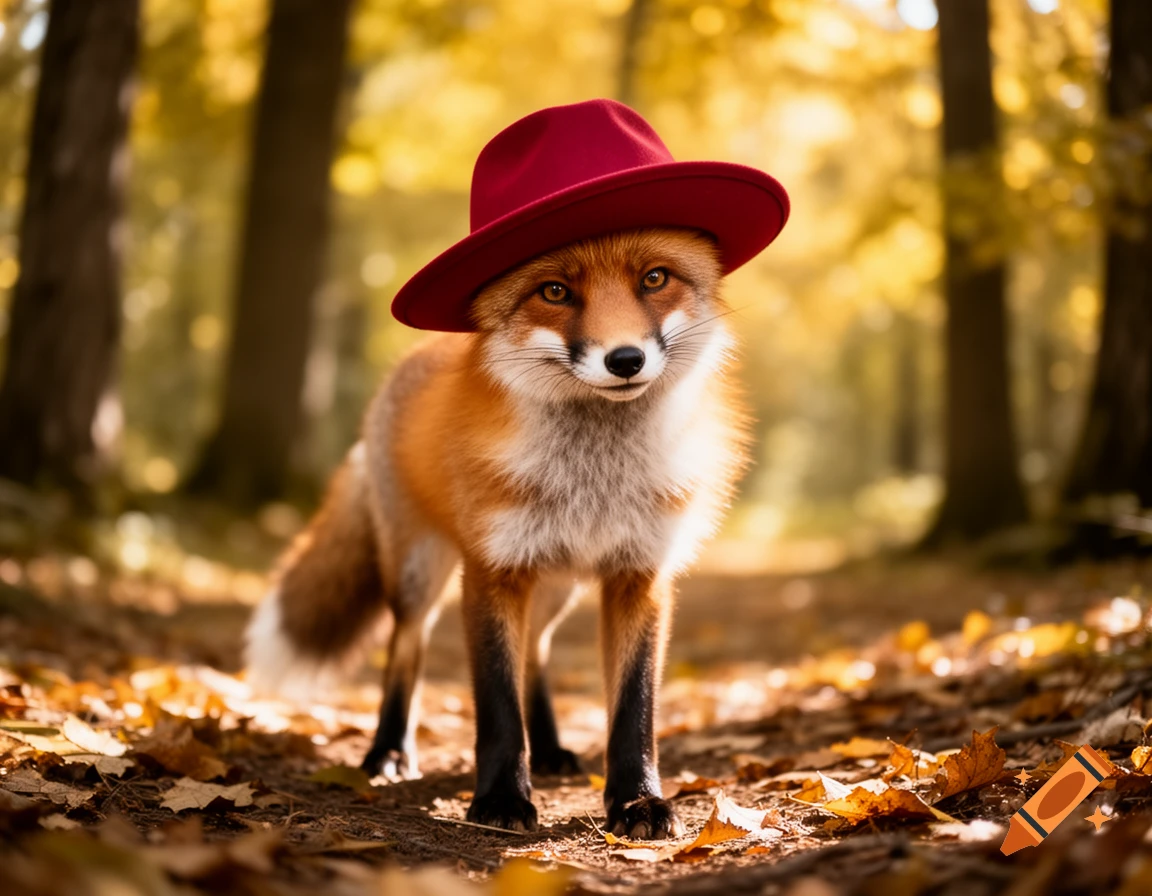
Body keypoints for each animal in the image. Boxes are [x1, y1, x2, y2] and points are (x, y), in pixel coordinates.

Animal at [245, 227, 750, 839]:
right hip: (420, 575)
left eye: (655, 278)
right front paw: (502, 800)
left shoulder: (640, 575)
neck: (593, 479)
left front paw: (637, 801)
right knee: (405, 651)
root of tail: (413, 358)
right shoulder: (492, 570)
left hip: (556, 587)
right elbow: (498, 705)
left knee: (535, 652)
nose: (626, 359)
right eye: (554, 291)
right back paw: (388, 752)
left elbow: (634, 708)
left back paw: (551, 749)